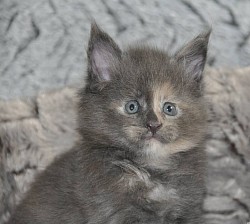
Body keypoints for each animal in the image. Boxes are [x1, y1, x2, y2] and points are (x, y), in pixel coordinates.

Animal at [6, 23, 210, 223]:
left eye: (169, 108)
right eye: (132, 106)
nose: (153, 125)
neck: (150, 168)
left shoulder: (188, 209)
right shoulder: (114, 212)